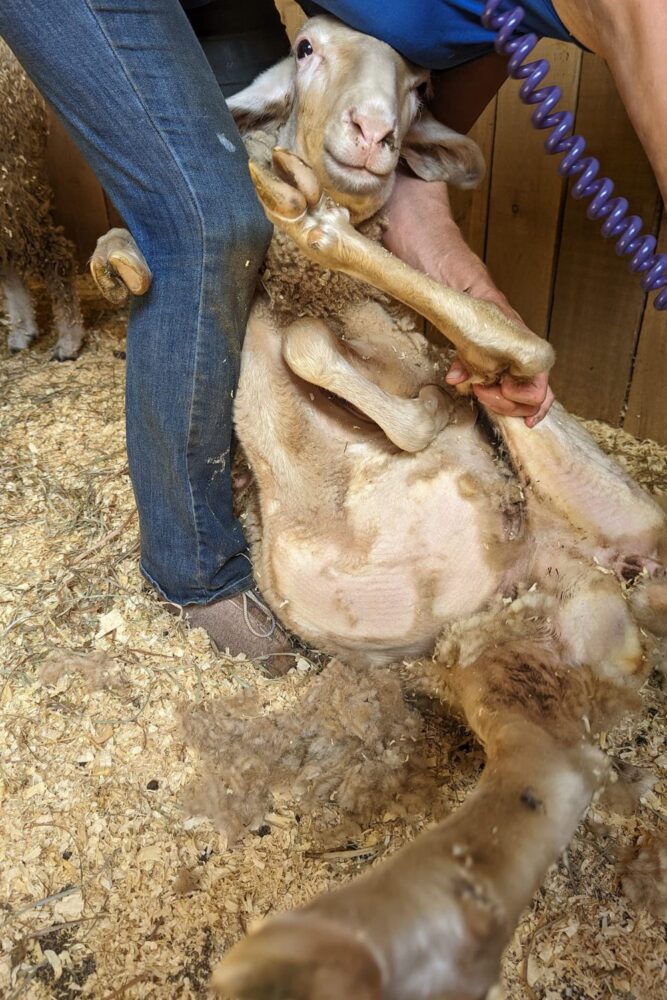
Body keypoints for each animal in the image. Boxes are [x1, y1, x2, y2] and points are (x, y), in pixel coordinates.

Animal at [90, 15, 667, 1000]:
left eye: (419, 85)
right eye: (307, 47)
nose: (374, 135)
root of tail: (591, 575)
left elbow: (324, 346)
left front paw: (415, 406)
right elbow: (209, 292)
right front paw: (123, 264)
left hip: (561, 459)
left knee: (520, 348)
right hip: (509, 640)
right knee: (550, 772)